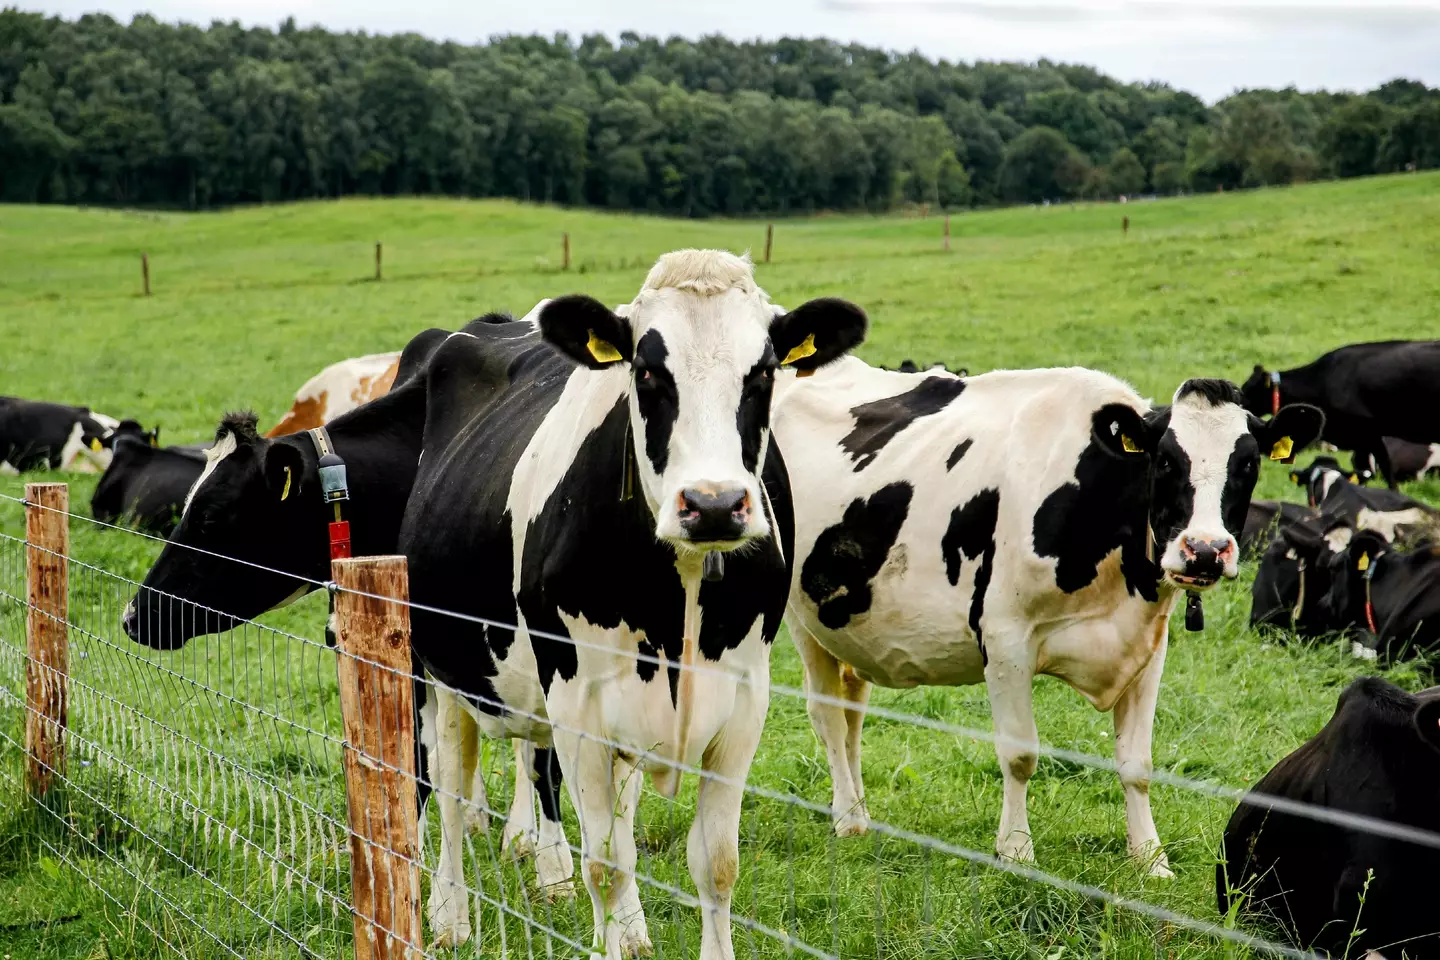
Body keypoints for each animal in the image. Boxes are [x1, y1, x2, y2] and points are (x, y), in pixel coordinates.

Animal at [399, 250, 866, 956]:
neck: (682, 594)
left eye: (762, 372)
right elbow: (606, 863)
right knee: (450, 787)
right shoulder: (577, 703)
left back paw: (627, 929)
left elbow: (715, 862)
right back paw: (450, 916)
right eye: (646, 371)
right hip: (440, 666)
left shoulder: (745, 700)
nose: (712, 504)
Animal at [771, 365, 1323, 876]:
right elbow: (1019, 754)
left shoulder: (1148, 644)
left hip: (848, 626)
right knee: (826, 715)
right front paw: (1016, 852)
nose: (1205, 550)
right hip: (801, 617)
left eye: (1247, 463)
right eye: (1165, 460)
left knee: (852, 713)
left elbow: (1138, 764)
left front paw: (1150, 859)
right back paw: (847, 818)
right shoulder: (1005, 639)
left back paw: (861, 811)